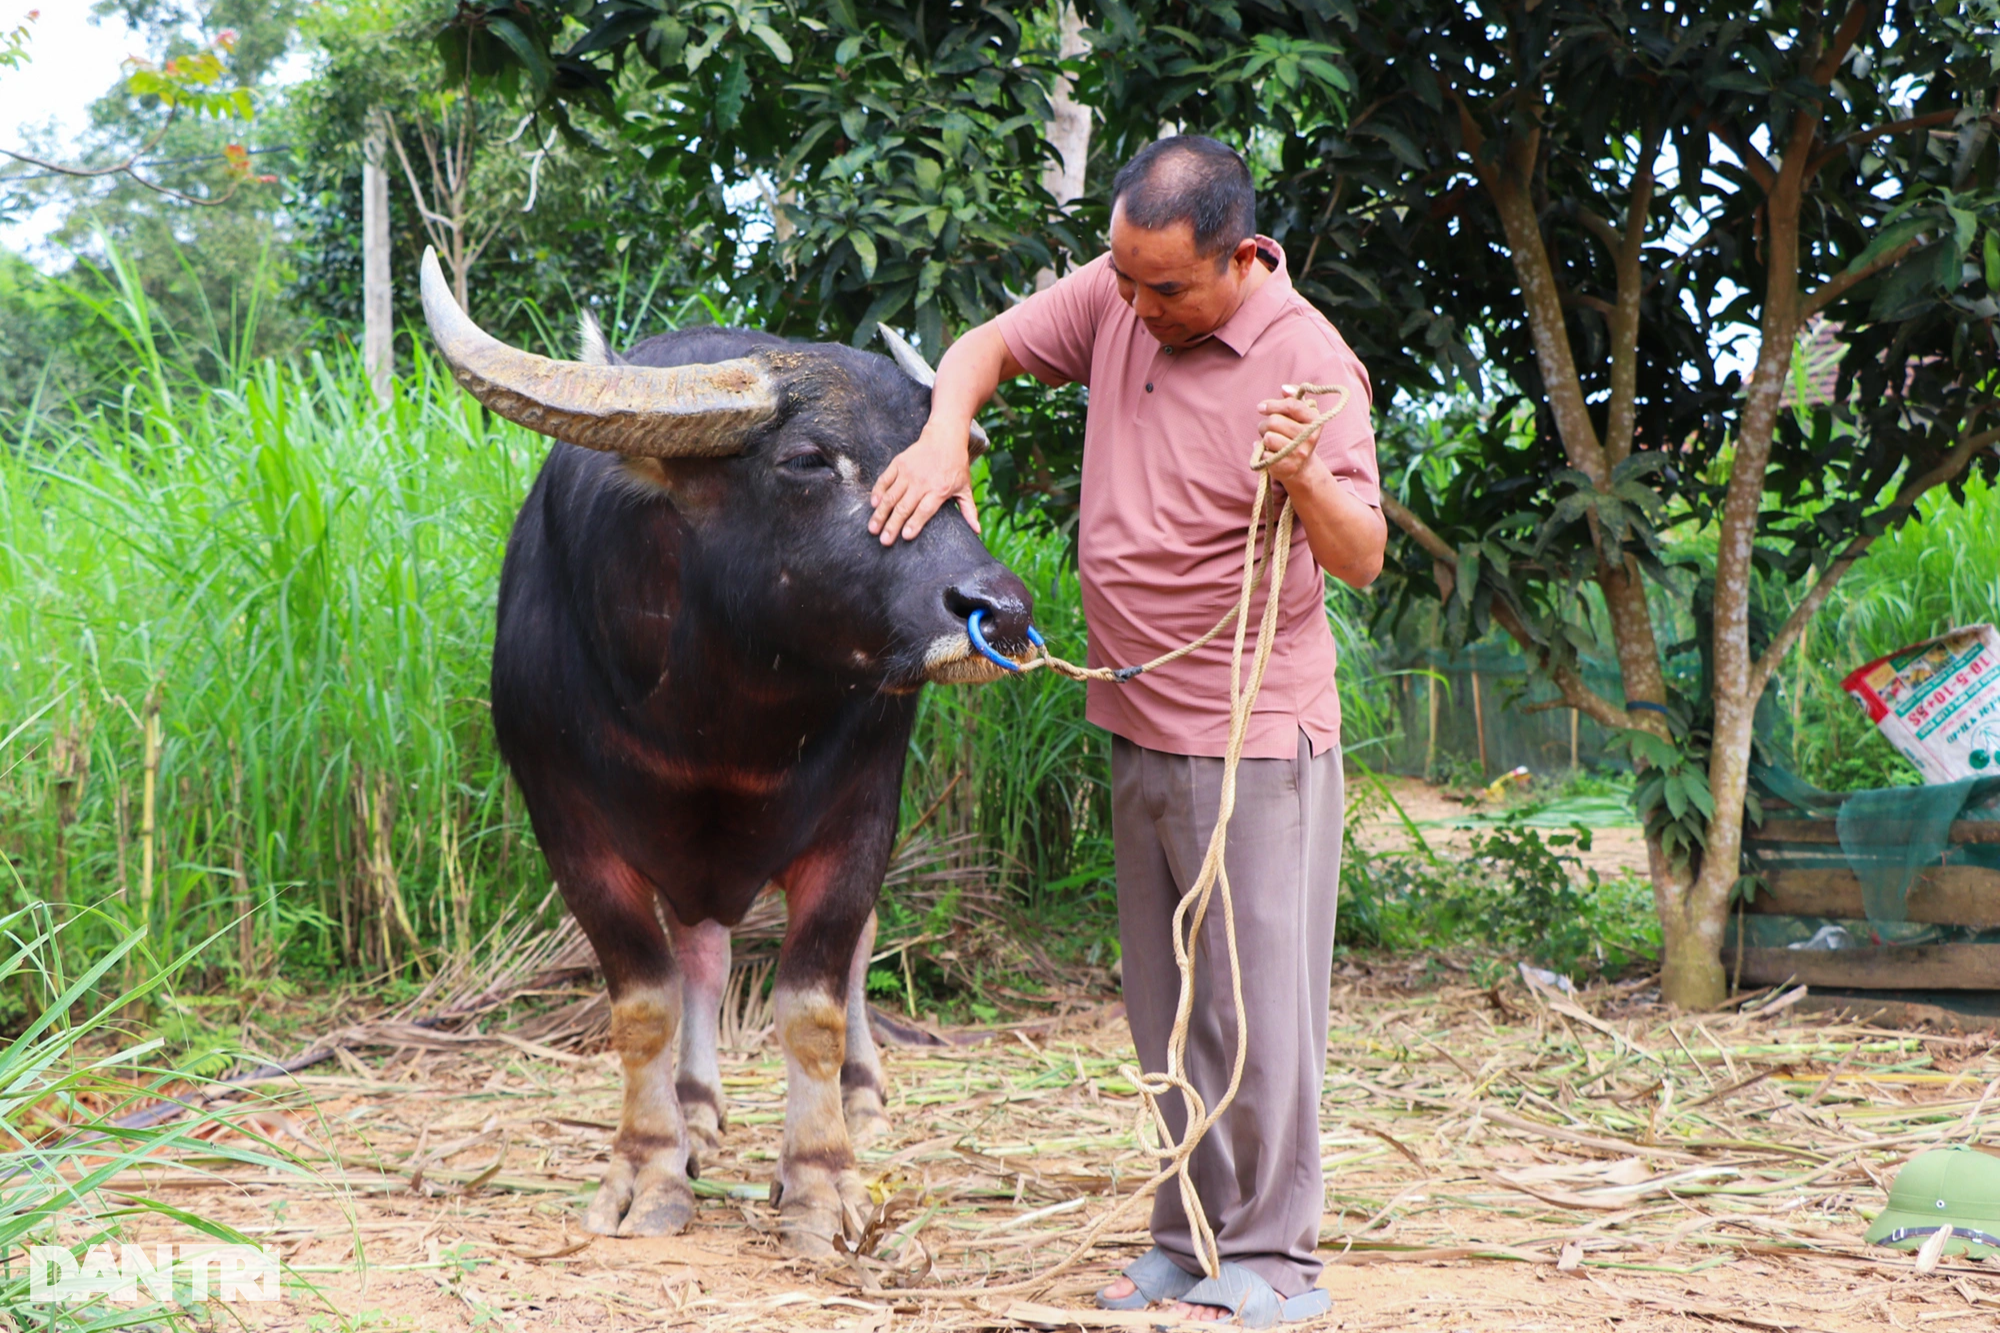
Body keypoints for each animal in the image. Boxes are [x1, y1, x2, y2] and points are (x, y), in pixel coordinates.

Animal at [428, 246, 1040, 1248]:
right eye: (807, 459)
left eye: (952, 463)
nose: (1002, 611)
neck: (717, 719)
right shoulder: (568, 825)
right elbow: (645, 1001)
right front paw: (649, 1165)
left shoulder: (862, 814)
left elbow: (815, 1000)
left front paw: (823, 1174)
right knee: (702, 957)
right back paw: (695, 1107)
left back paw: (857, 1095)